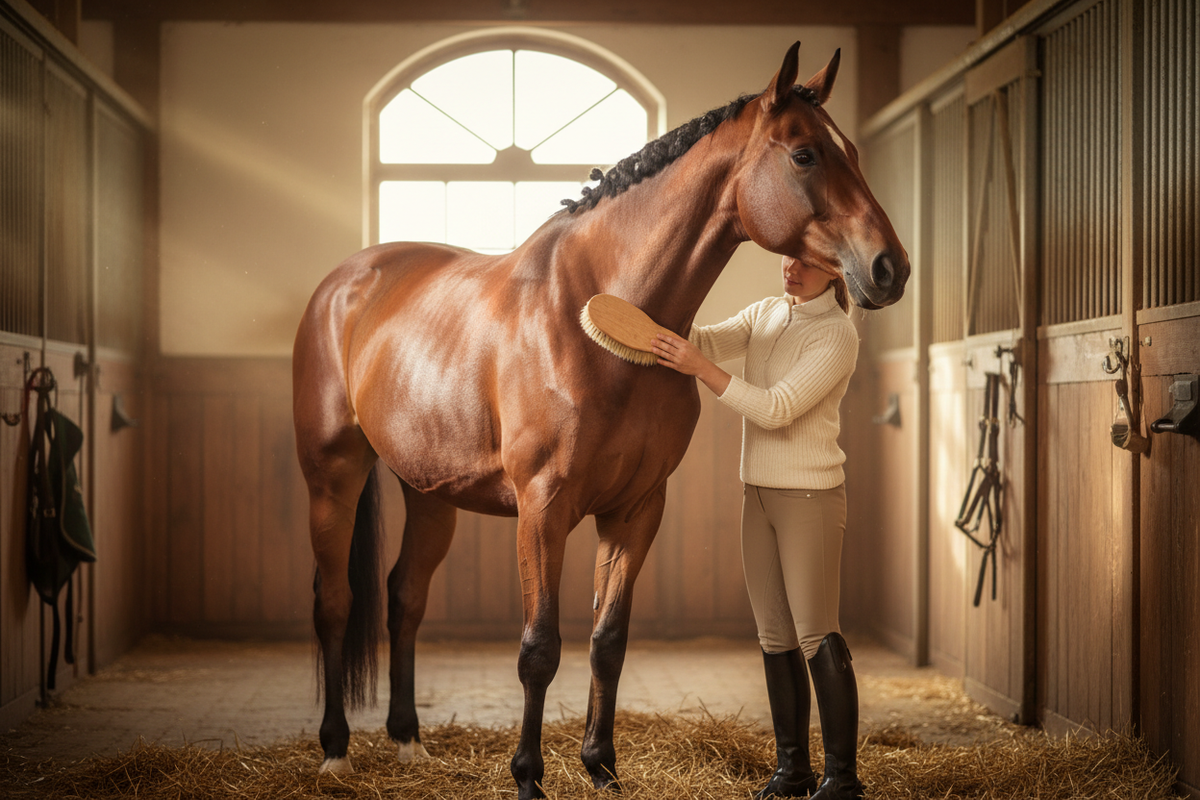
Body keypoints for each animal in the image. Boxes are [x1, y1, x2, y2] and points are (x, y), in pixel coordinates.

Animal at [292, 41, 908, 800]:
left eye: (849, 150)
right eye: (804, 155)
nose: (889, 268)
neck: (596, 313)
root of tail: (346, 281)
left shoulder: (636, 508)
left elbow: (607, 640)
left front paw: (602, 767)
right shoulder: (543, 507)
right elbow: (539, 647)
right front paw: (529, 777)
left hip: (429, 492)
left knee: (404, 596)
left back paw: (408, 742)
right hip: (333, 476)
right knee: (334, 601)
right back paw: (335, 751)